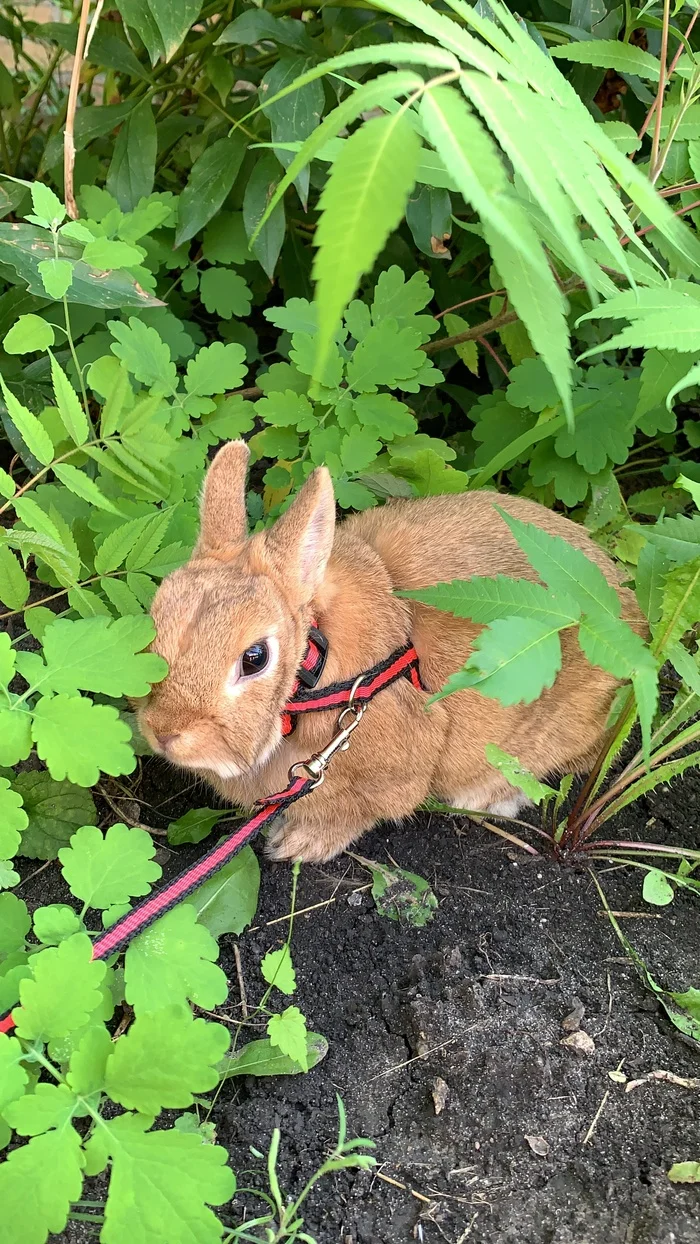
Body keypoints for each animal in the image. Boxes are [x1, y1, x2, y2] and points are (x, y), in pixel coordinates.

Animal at [139, 442, 651, 860]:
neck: (314, 671)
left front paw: (297, 846)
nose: (164, 732)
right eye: (155, 620)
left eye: (255, 658)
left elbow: (358, 813)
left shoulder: (391, 775)